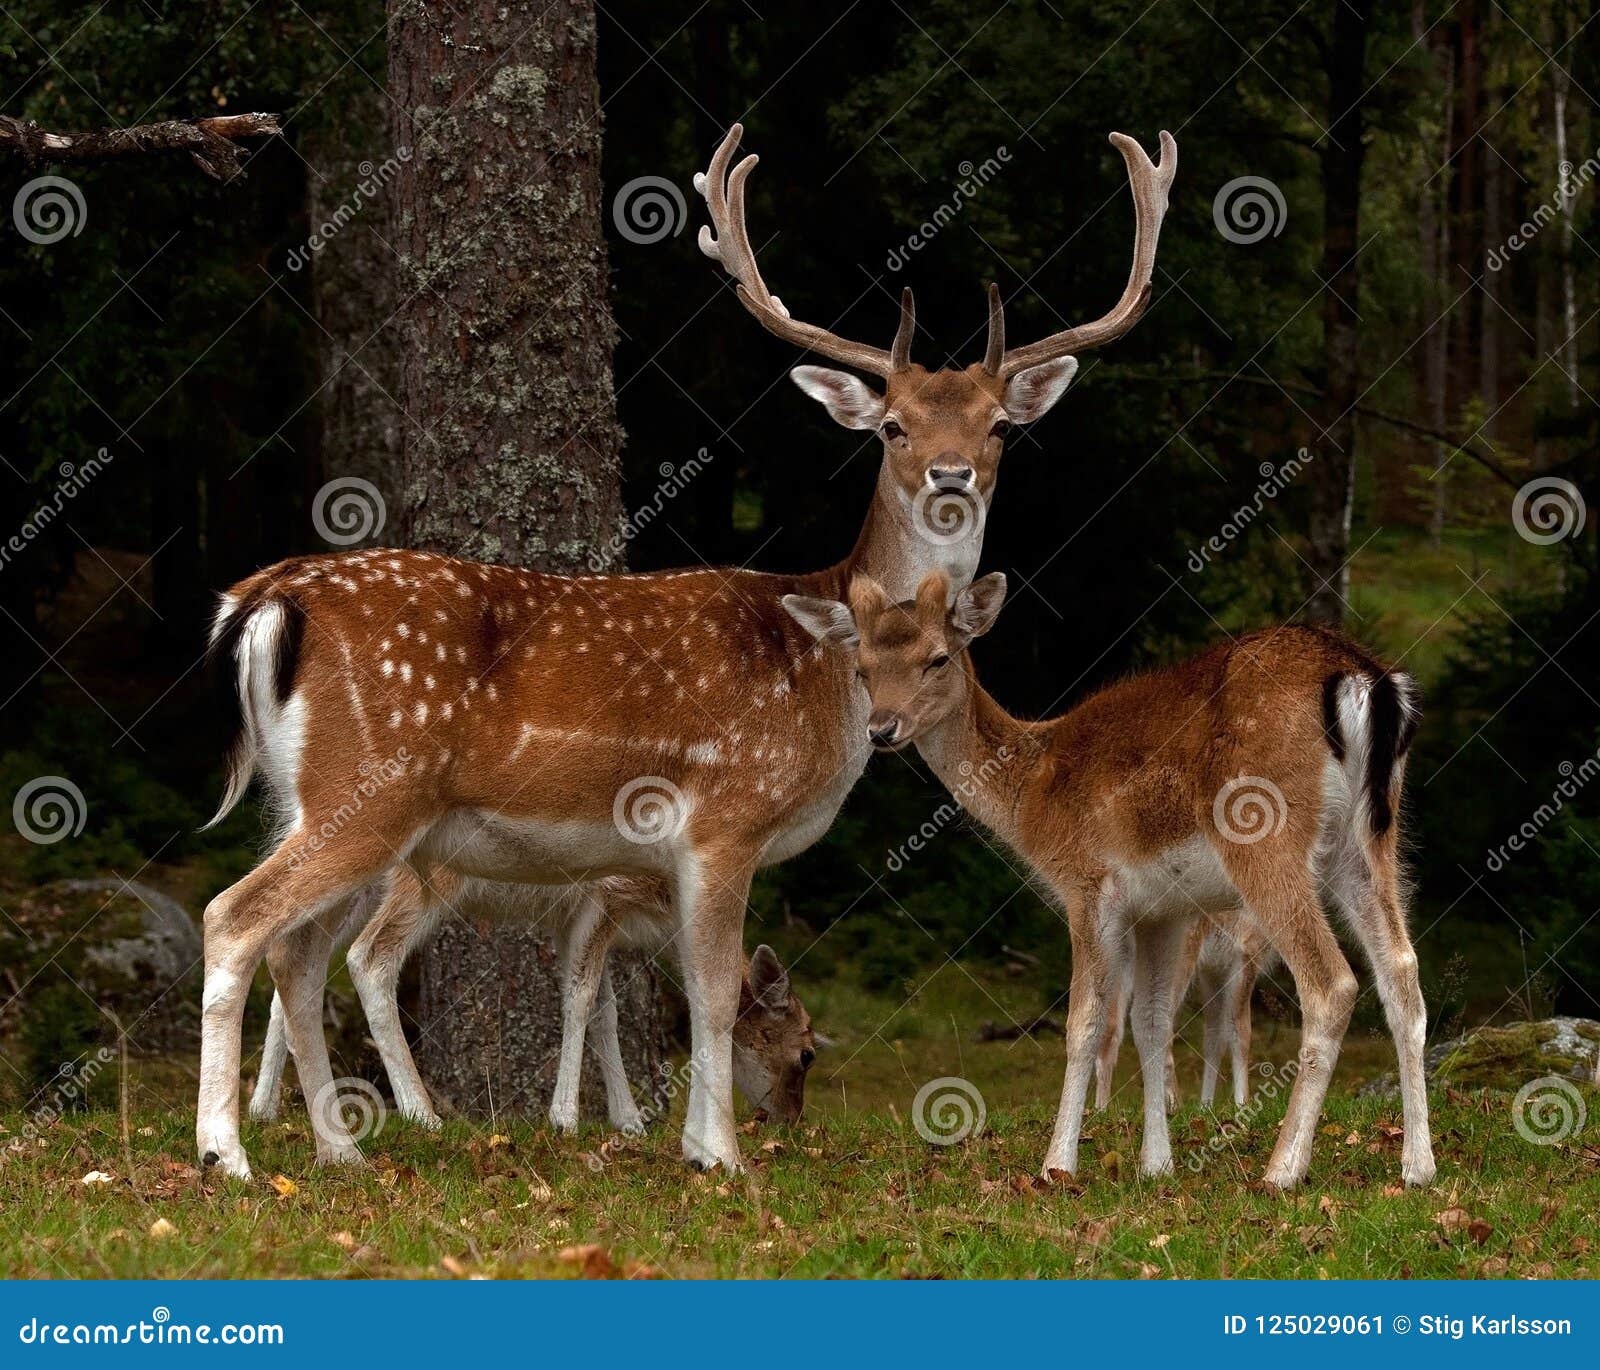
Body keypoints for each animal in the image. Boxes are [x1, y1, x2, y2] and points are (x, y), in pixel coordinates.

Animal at [254, 877, 819, 1133]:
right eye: (807, 1053)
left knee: (294, 965)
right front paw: (565, 1118)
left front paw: (628, 1120)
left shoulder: (570, 919)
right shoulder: (602, 899)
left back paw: (263, 1106)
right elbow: (581, 1000)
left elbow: (605, 1012)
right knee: (366, 959)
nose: (792, 1120)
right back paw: (422, 1112)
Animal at [787, 566, 1440, 1190]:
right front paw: (1157, 1165)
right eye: (862, 669)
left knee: (1331, 984)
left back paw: (1282, 1170)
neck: (1031, 794)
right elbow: (1151, 1024)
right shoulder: (1164, 910)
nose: (881, 729)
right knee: (1402, 971)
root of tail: (1365, 678)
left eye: (938, 657)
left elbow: (1085, 1024)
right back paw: (1418, 1166)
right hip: (1369, 841)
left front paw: (1057, 1165)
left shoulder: (1087, 885)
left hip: (1266, 838)